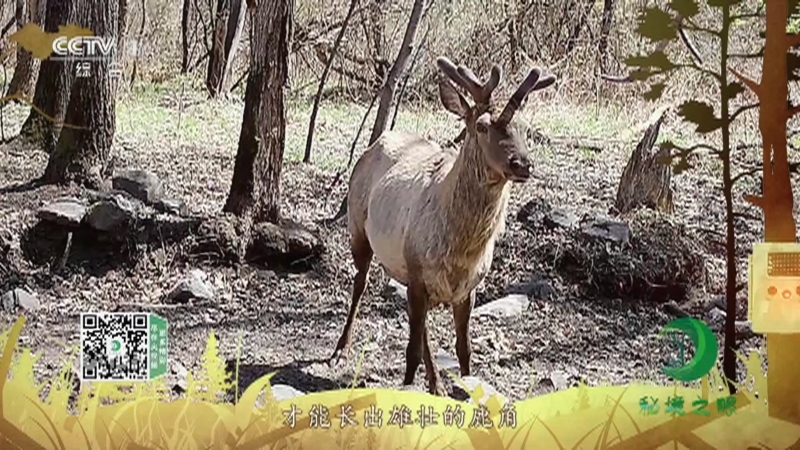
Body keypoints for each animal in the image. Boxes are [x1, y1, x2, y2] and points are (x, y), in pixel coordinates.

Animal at [330, 56, 556, 395]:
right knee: (360, 282)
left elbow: (464, 349)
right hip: (358, 228)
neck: (461, 254)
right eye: (481, 126)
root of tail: (378, 141)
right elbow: (410, 352)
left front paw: (462, 384)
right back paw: (340, 351)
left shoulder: (467, 289)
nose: (522, 164)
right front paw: (412, 385)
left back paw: (436, 384)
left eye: (525, 129)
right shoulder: (417, 271)